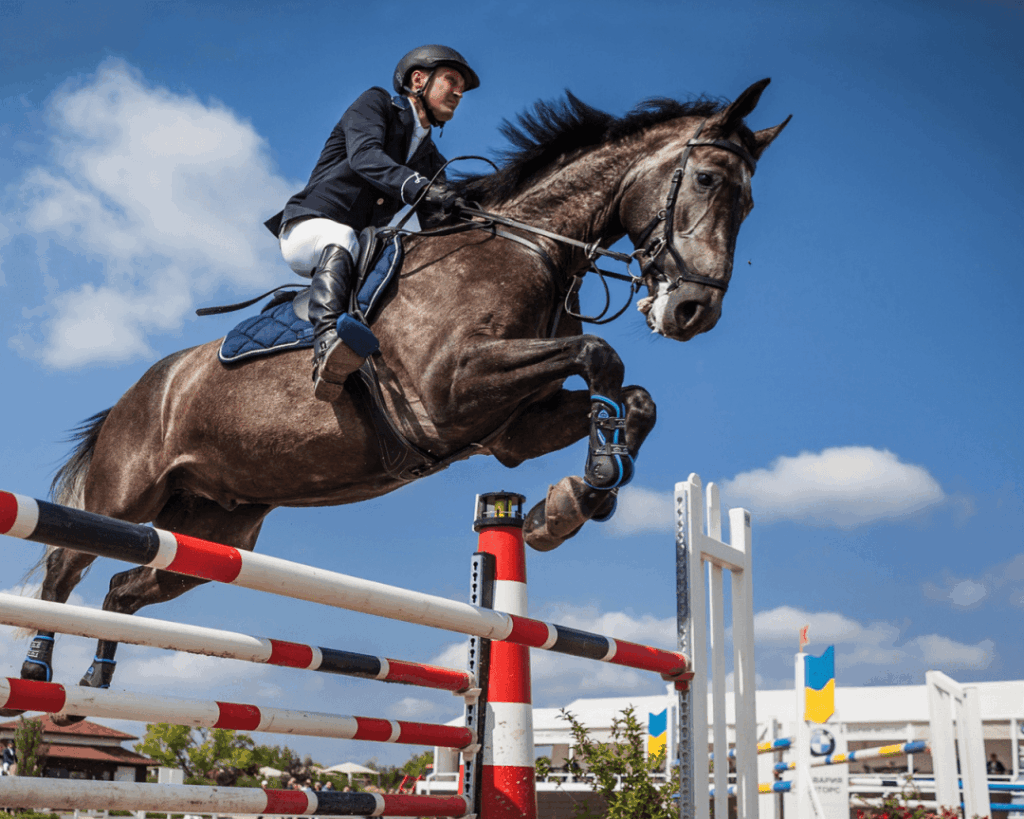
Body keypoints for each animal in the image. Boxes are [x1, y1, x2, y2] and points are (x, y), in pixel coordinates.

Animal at [7, 79, 788, 714]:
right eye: (708, 179)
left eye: (750, 200)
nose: (692, 311)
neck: (528, 250)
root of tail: (142, 388)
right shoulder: (451, 392)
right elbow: (603, 354)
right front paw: (584, 486)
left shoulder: (508, 429)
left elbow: (635, 395)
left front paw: (574, 499)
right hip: (126, 494)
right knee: (66, 562)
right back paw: (38, 675)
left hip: (217, 528)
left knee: (127, 586)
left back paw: (96, 680)